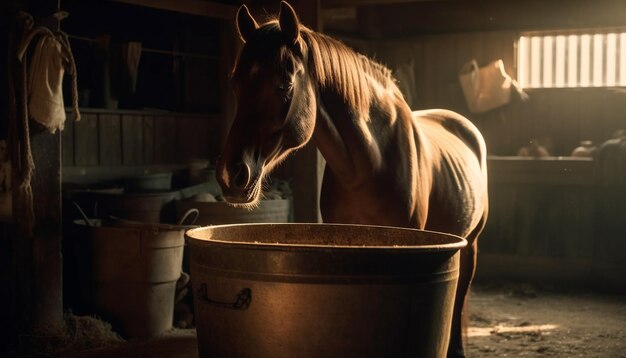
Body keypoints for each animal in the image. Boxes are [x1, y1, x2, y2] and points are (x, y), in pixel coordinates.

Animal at [216, 2, 488, 356]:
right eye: (235, 84)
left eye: (284, 85)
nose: (232, 174)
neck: (368, 164)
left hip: (471, 244)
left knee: (460, 296)